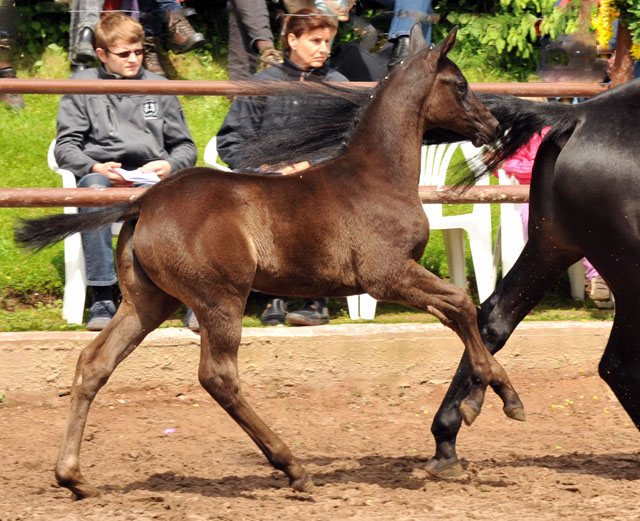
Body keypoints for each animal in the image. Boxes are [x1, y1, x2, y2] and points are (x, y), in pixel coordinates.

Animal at [13, 26, 524, 498]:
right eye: (459, 85)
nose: (493, 126)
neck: (379, 176)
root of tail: (143, 203)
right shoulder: (387, 276)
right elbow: (462, 302)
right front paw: (498, 397)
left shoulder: (401, 279)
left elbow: (457, 312)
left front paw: (497, 393)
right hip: (220, 298)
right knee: (218, 377)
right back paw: (292, 466)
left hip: (147, 302)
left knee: (95, 363)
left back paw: (74, 477)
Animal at [424, 80, 640, 476]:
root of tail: (581, 114)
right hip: (627, 270)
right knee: (619, 365)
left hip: (552, 245)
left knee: (492, 319)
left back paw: (447, 438)